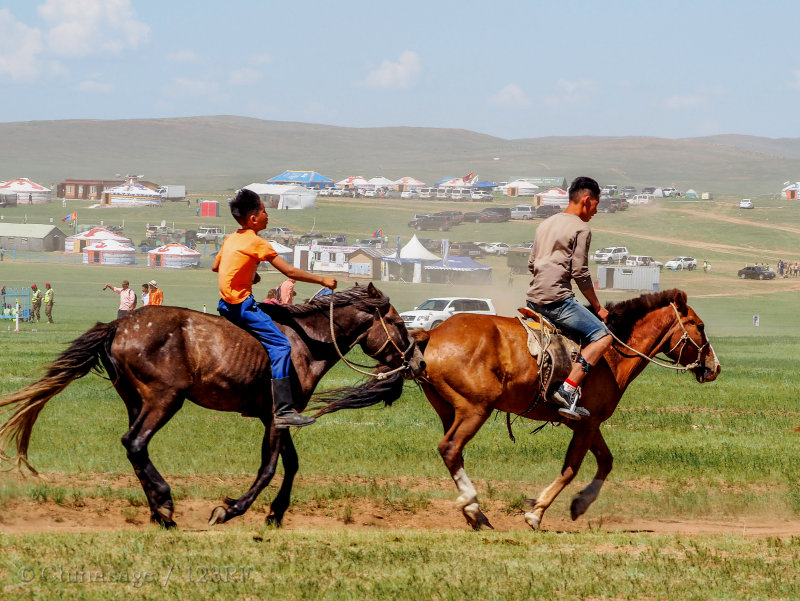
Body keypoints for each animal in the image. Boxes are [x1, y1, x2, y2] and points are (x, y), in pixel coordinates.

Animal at [0, 282, 424, 524]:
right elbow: (269, 468)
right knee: (135, 442)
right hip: (165, 399)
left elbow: (290, 465)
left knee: (134, 448)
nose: (418, 362)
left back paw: (160, 510)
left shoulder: (279, 417)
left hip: (136, 400)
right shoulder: (276, 417)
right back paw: (165, 502)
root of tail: (119, 324)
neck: (307, 342)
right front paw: (232, 509)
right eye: (398, 324)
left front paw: (276, 513)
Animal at [412, 288, 720, 528]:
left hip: (450, 411)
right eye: (700, 325)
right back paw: (473, 507)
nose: (714, 367)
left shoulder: (587, 423)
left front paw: (580, 504)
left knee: (455, 454)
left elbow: (606, 461)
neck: (613, 354)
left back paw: (473, 512)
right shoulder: (587, 425)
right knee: (450, 448)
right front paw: (536, 512)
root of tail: (433, 332)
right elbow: (571, 469)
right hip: (475, 409)